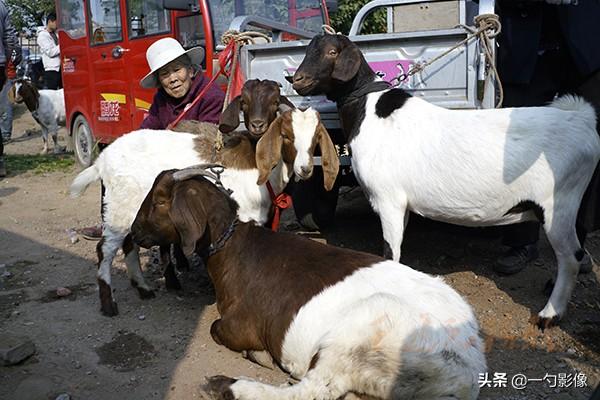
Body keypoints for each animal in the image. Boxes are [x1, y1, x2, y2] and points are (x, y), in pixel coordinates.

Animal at [68, 108, 340, 318]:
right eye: (286, 135)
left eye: (316, 136)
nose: (305, 169)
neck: (260, 169)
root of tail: (102, 160)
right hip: (118, 208)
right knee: (105, 249)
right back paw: (108, 304)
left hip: (129, 210)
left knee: (129, 244)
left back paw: (143, 288)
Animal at [131, 170, 488, 400]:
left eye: (158, 201)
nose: (133, 233)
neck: (233, 247)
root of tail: (466, 370)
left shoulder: (239, 324)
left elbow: (215, 328)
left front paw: (256, 354)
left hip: (358, 331)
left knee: (313, 390)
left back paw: (227, 385)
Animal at [290, 33, 600, 328]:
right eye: (308, 50)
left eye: (332, 51)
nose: (297, 80)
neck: (369, 109)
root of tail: (583, 121)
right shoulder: (402, 204)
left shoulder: (388, 199)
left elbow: (390, 249)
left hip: (558, 203)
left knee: (570, 257)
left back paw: (550, 314)